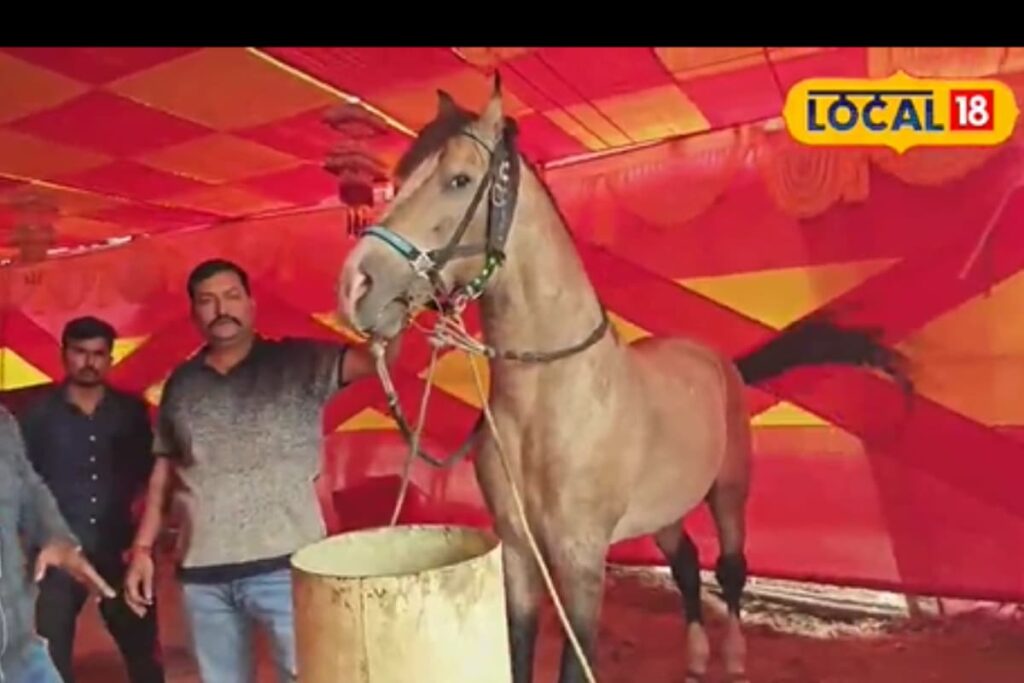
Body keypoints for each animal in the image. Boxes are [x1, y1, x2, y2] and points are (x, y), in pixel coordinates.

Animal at [336, 76, 911, 683]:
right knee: (686, 565)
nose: (356, 285)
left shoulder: (582, 558)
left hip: (729, 492)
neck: (550, 401)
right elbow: (519, 650)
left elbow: (576, 662)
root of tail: (718, 362)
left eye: (460, 180)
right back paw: (697, 656)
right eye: (400, 177)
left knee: (731, 568)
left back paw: (732, 655)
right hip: (666, 510)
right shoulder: (517, 552)